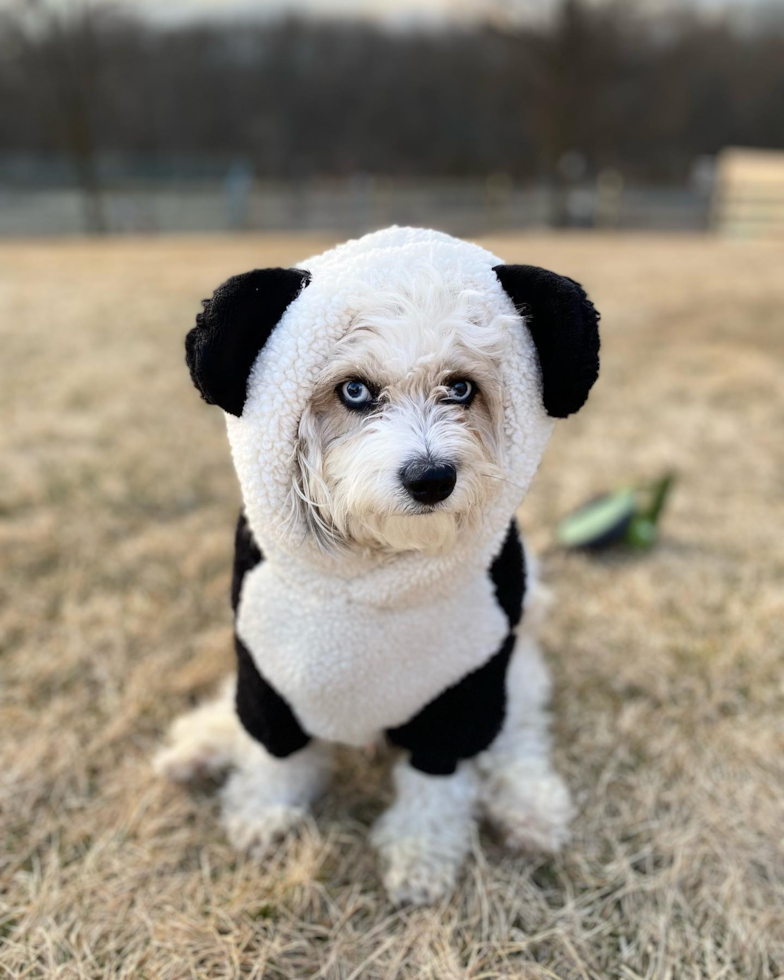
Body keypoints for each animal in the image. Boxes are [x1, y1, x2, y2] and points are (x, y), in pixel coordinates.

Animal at [155, 228, 600, 904]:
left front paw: (421, 852)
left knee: (518, 737)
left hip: (513, 676)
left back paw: (529, 807)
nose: (432, 477)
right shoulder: (267, 671)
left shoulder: (464, 688)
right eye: (355, 390)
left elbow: (438, 780)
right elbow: (275, 752)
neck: (369, 586)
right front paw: (264, 809)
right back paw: (200, 745)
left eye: (461, 388)